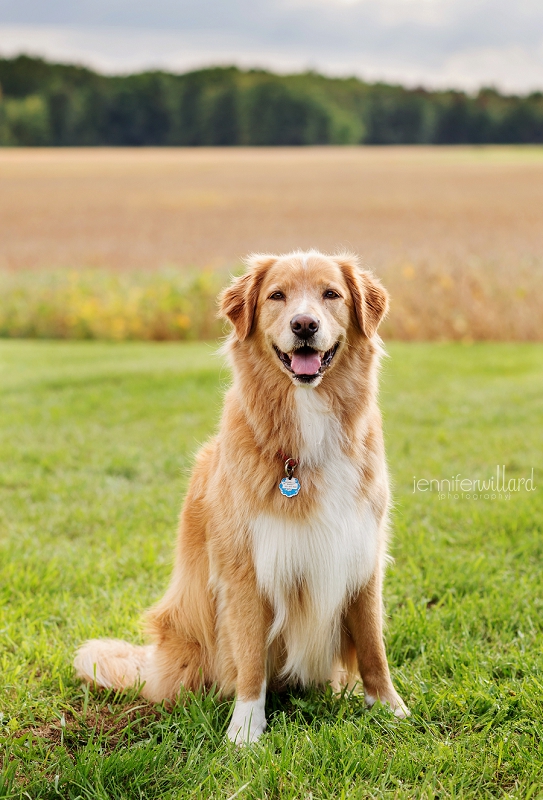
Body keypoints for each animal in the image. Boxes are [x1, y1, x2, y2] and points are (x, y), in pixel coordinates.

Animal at [75, 252, 408, 744]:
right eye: (277, 296)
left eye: (331, 294)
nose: (304, 324)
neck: (307, 427)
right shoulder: (245, 568)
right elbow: (250, 655)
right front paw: (246, 729)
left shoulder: (361, 552)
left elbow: (372, 644)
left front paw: (389, 707)